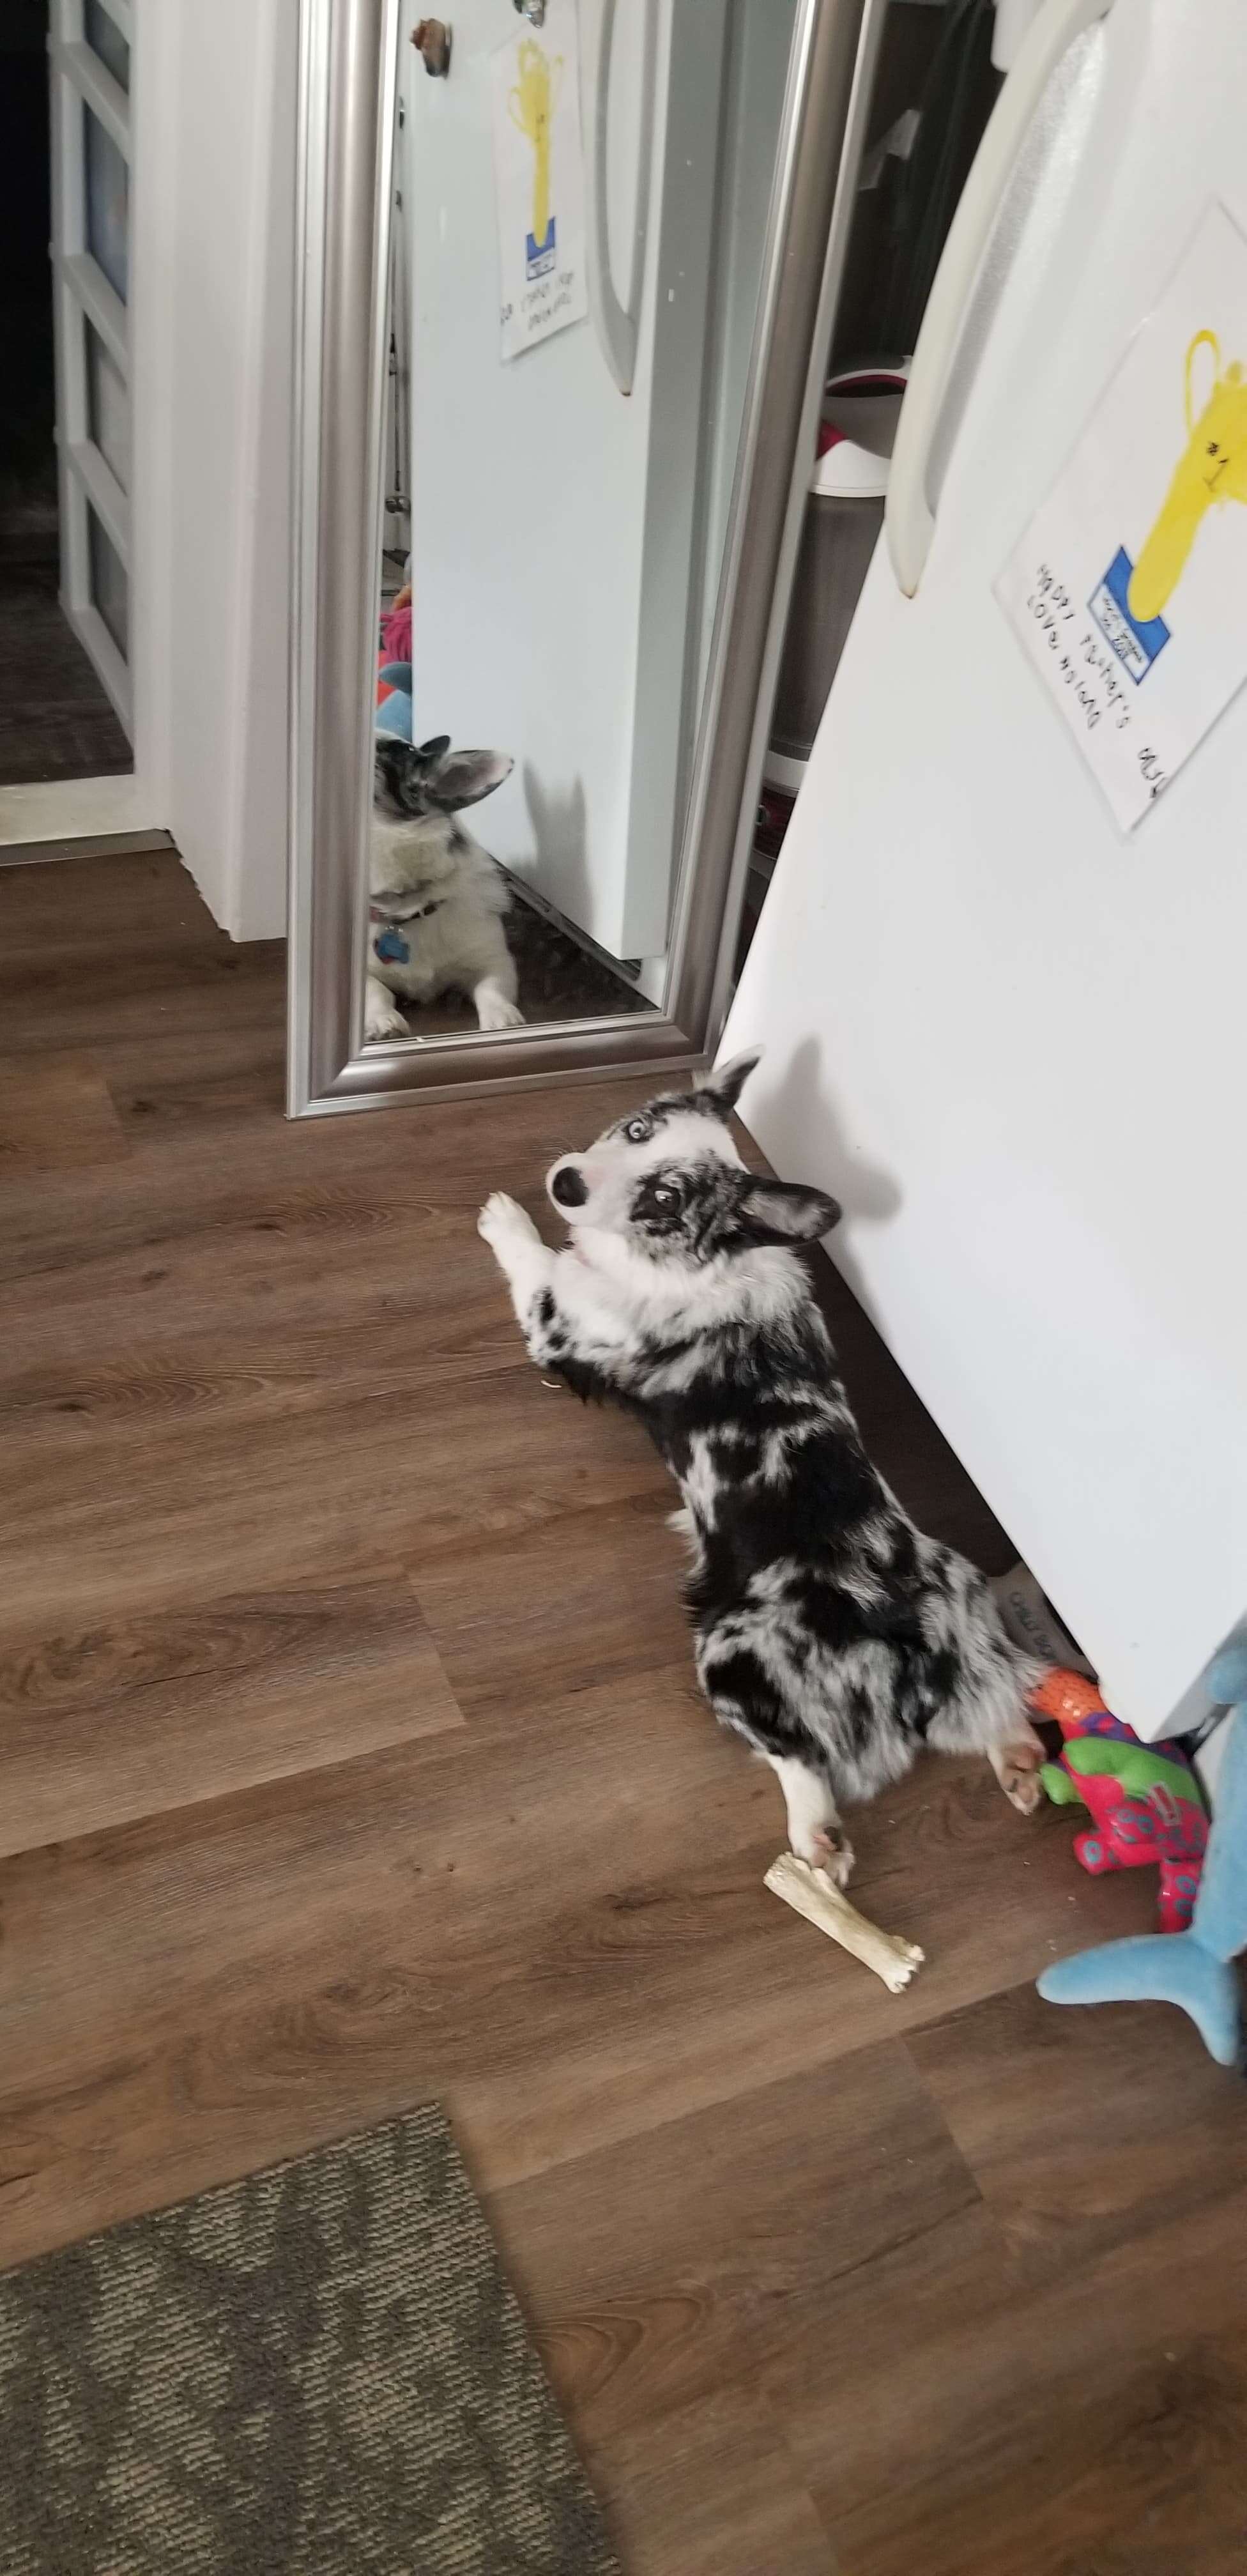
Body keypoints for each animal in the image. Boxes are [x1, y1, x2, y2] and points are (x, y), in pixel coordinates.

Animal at [482, 1056, 1046, 1885]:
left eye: (665, 1198)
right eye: (636, 1129)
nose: (567, 1184)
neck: (692, 1257)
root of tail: (906, 1637)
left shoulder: (561, 1326)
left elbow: (542, 1262)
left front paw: (503, 1218)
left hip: (726, 1653)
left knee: (795, 1757)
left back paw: (817, 1839)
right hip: (968, 1606)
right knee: (994, 1700)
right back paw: (1020, 1761)